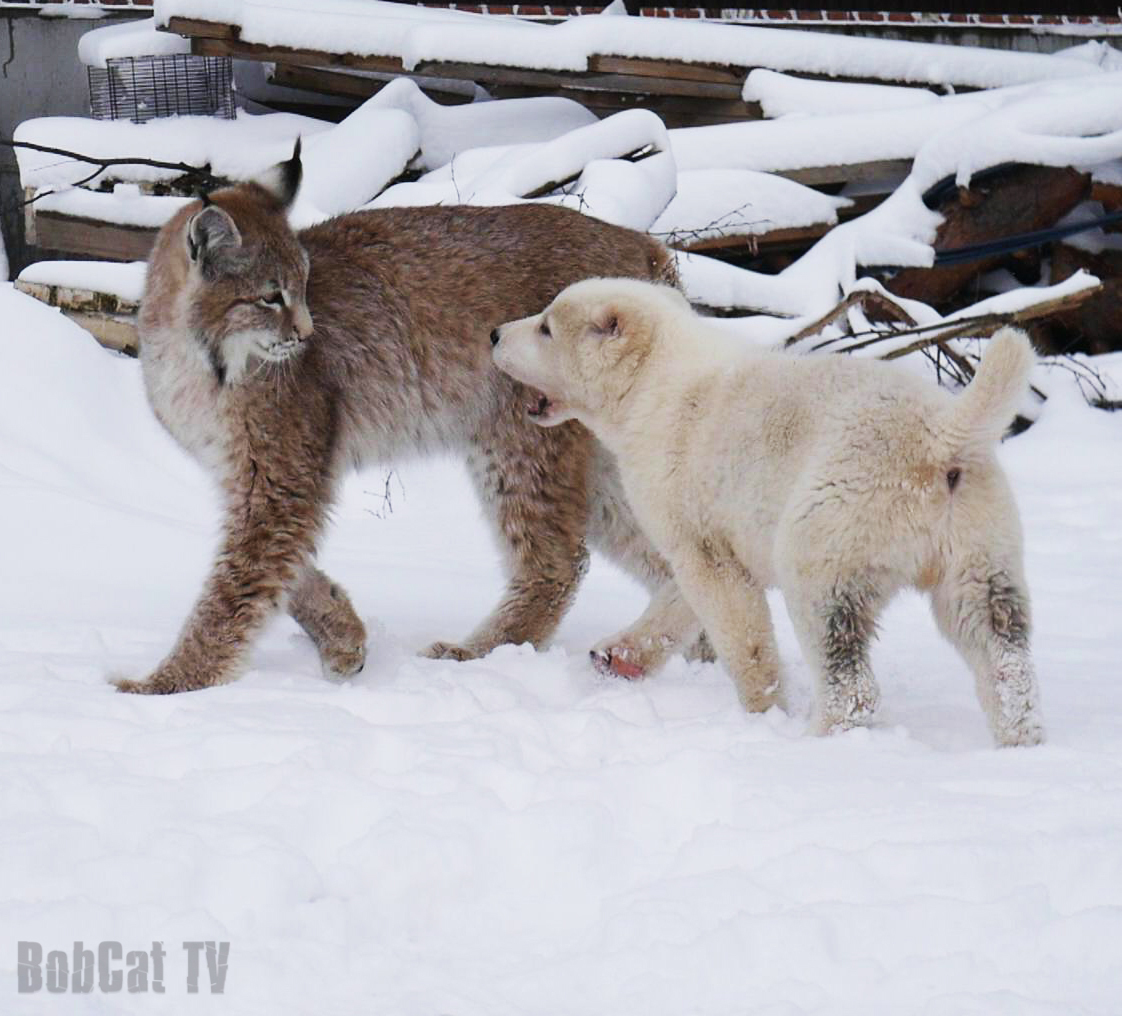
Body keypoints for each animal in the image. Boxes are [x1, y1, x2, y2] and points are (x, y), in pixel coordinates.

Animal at [495, 276, 1045, 744]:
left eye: (546, 326)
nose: (496, 333)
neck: (654, 382)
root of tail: (941, 435)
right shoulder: (713, 530)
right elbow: (681, 594)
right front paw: (617, 656)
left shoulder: (689, 514)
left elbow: (730, 612)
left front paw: (762, 709)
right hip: (981, 542)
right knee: (997, 648)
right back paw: (1019, 739)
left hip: (835, 525)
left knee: (843, 660)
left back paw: (817, 741)